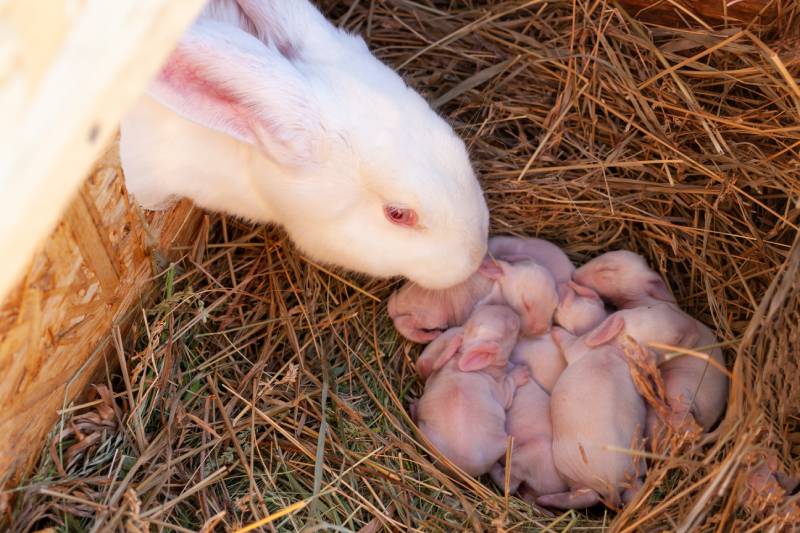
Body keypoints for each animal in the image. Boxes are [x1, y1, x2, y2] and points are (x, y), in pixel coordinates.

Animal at [416, 306, 528, 476]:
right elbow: (509, 387)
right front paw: (523, 372)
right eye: (513, 326)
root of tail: (460, 468)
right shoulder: (499, 388)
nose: (513, 311)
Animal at [572, 249, 728, 436]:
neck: (643, 300)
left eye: (608, 270)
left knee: (682, 419)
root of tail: (709, 423)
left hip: (682, 386)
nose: (574, 275)